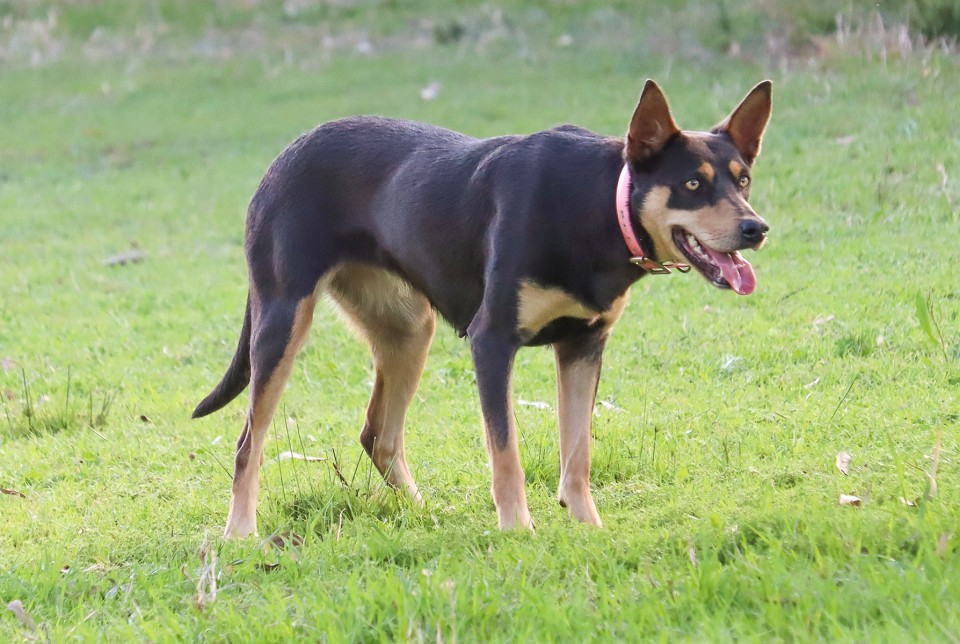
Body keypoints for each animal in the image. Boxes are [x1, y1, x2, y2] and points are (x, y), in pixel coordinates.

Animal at [193, 80, 772, 538]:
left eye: (743, 179)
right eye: (693, 184)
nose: (756, 228)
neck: (596, 204)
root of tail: (282, 158)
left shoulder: (583, 345)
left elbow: (577, 453)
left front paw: (588, 527)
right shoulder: (492, 341)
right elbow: (506, 451)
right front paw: (518, 530)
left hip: (410, 330)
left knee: (379, 435)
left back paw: (424, 514)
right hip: (283, 321)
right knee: (249, 443)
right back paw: (240, 534)